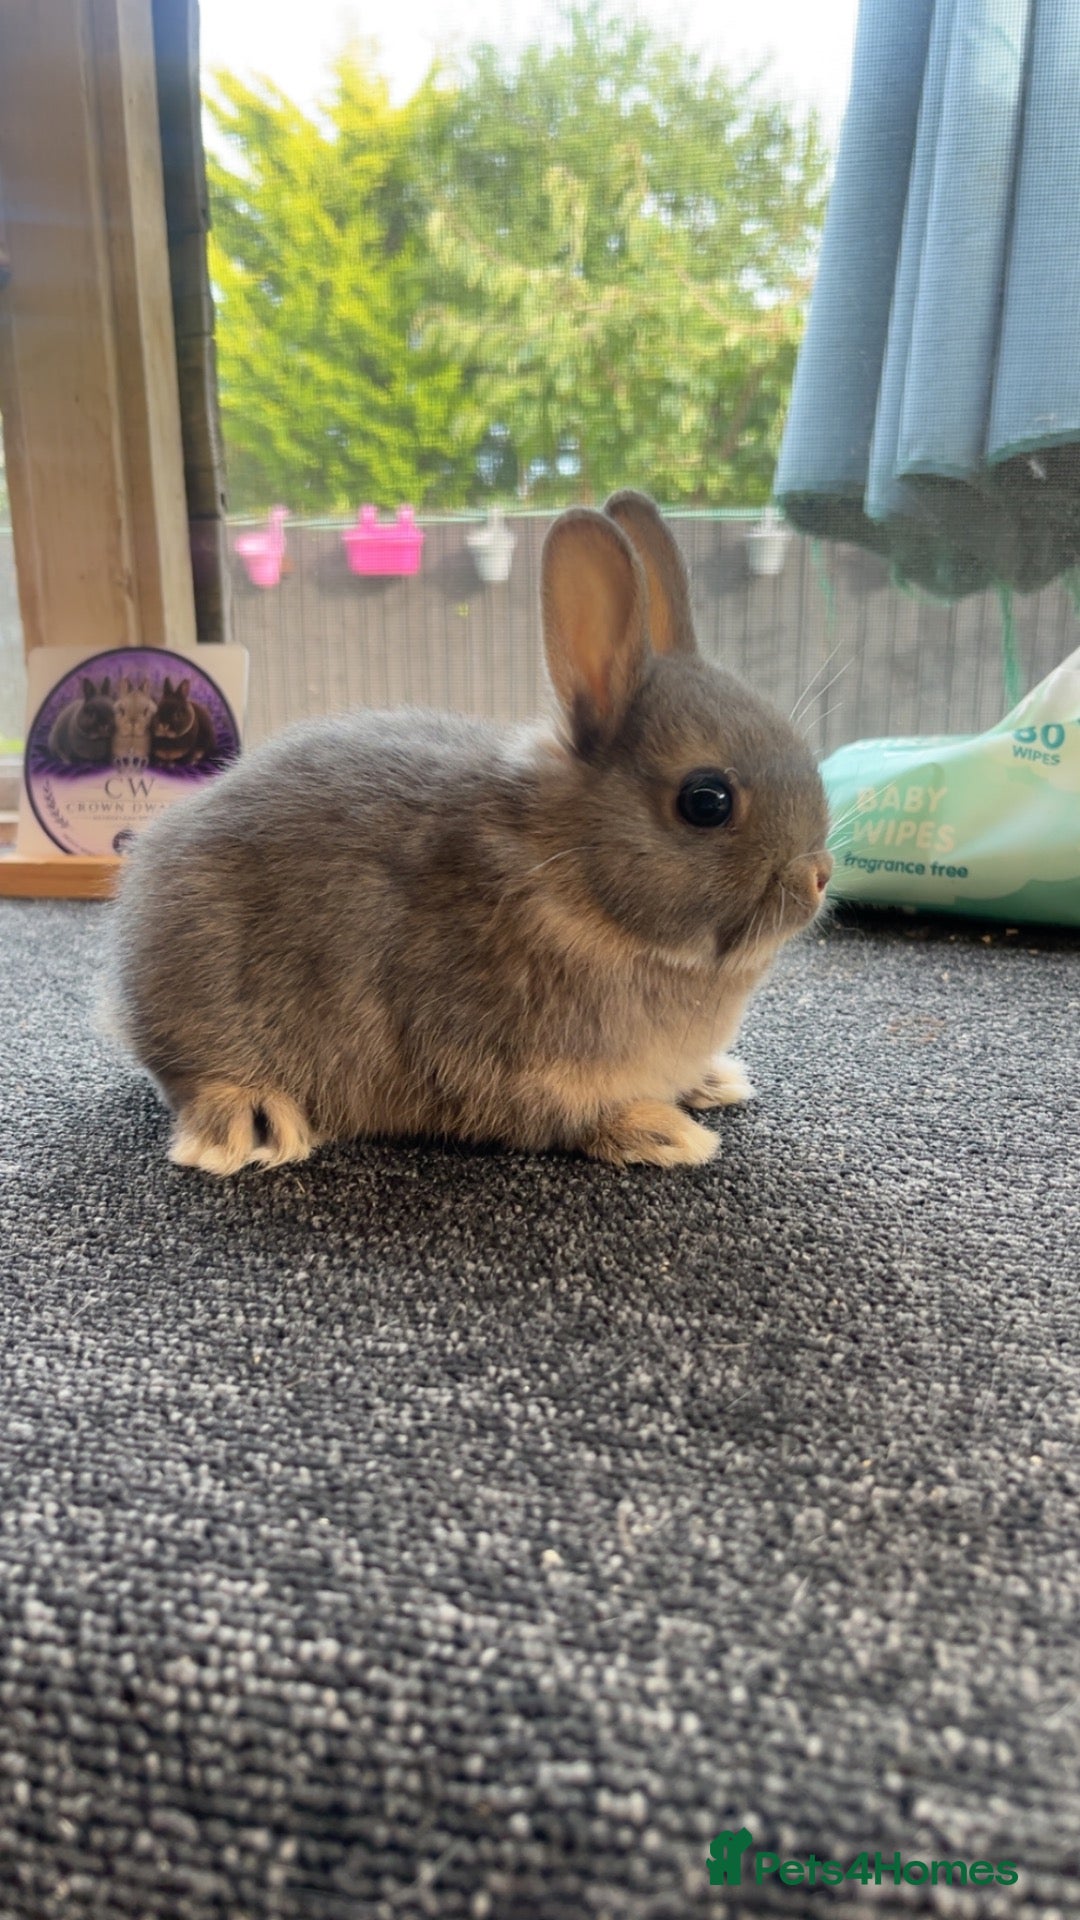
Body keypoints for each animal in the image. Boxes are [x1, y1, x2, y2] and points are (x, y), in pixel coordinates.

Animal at [104, 492, 832, 1176]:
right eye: (706, 801)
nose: (818, 876)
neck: (572, 878)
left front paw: (710, 1083)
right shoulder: (506, 1064)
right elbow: (570, 1117)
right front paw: (666, 1133)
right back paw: (248, 1122)